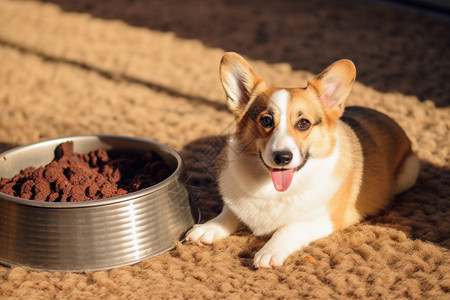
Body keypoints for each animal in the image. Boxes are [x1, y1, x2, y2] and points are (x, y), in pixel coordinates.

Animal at [185, 52, 420, 268]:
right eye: (266, 120)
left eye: (304, 123)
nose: (282, 157)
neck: (270, 189)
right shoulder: (235, 204)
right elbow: (229, 212)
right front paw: (208, 228)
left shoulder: (325, 219)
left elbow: (288, 227)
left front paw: (269, 251)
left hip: (407, 174)